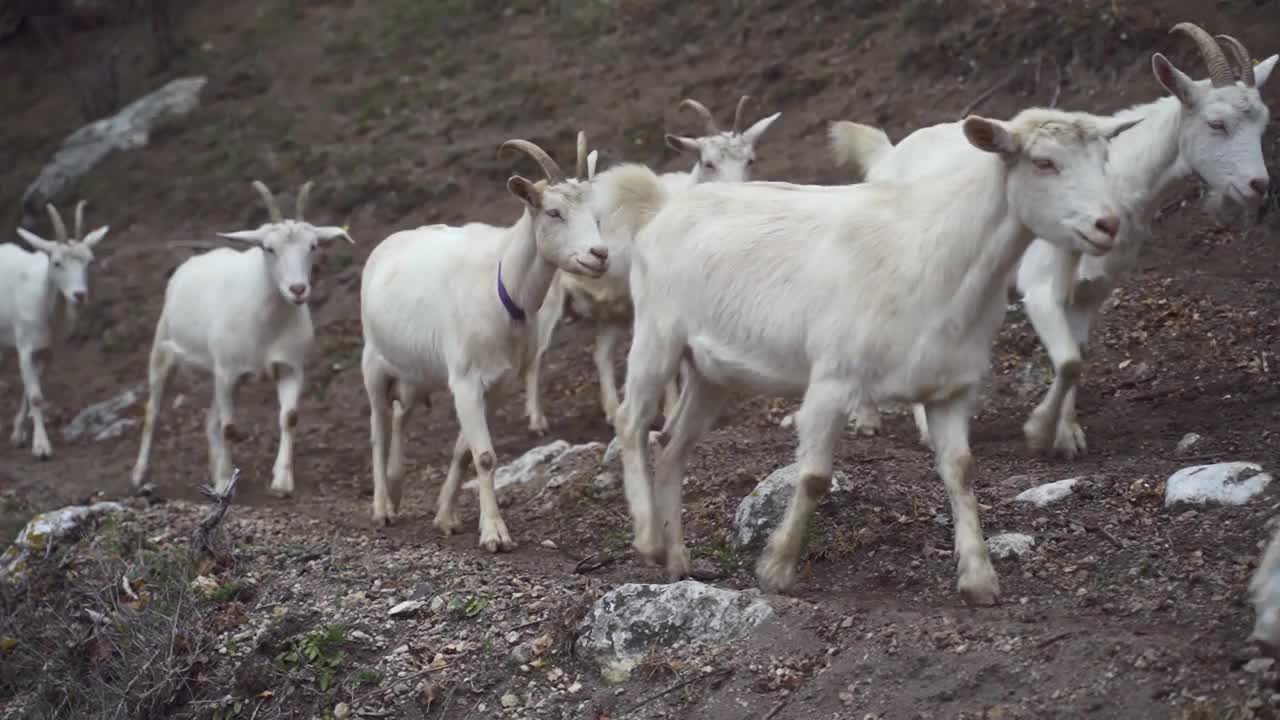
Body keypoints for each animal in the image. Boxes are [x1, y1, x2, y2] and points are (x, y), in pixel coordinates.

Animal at [1, 199, 109, 453]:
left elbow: (32, 391)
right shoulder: (25, 346)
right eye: (57, 263)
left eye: (90, 262)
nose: (79, 295)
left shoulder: (47, 351)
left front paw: (18, 433)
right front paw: (41, 446)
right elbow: (34, 395)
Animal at [130, 179, 353, 491]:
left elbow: (289, 418)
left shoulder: (290, 366)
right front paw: (225, 478)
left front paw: (281, 480)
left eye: (313, 246)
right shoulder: (227, 371)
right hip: (165, 350)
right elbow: (229, 427)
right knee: (154, 410)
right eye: (269, 248)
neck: (267, 324)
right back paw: (140, 474)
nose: (298, 290)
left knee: (209, 419)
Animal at [360, 135, 614, 548]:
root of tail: (387, 244)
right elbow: (484, 456)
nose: (600, 255)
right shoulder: (465, 380)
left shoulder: (498, 384)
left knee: (401, 415)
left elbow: (466, 452)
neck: (501, 286)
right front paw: (494, 533)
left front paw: (446, 517)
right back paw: (382, 508)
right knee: (378, 430)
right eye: (554, 212)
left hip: (416, 371)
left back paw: (396, 489)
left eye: (597, 215)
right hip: (373, 363)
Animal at [611, 105, 1141, 599]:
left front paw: (979, 577)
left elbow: (961, 471)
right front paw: (777, 567)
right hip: (656, 332)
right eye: (1043, 162)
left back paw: (677, 559)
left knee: (673, 445)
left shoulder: (952, 386)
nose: (1108, 224)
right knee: (630, 421)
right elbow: (814, 476)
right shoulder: (832, 377)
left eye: (1105, 158)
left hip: (711, 371)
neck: (939, 257)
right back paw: (647, 538)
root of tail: (661, 210)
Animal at [829, 23, 1269, 453]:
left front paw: (1068, 434)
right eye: (1216, 123)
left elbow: (1078, 358)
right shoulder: (1040, 288)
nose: (1259, 185)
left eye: (1263, 124)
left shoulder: (1090, 295)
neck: (1120, 185)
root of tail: (885, 156)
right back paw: (887, 421)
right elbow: (1068, 360)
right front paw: (1040, 431)